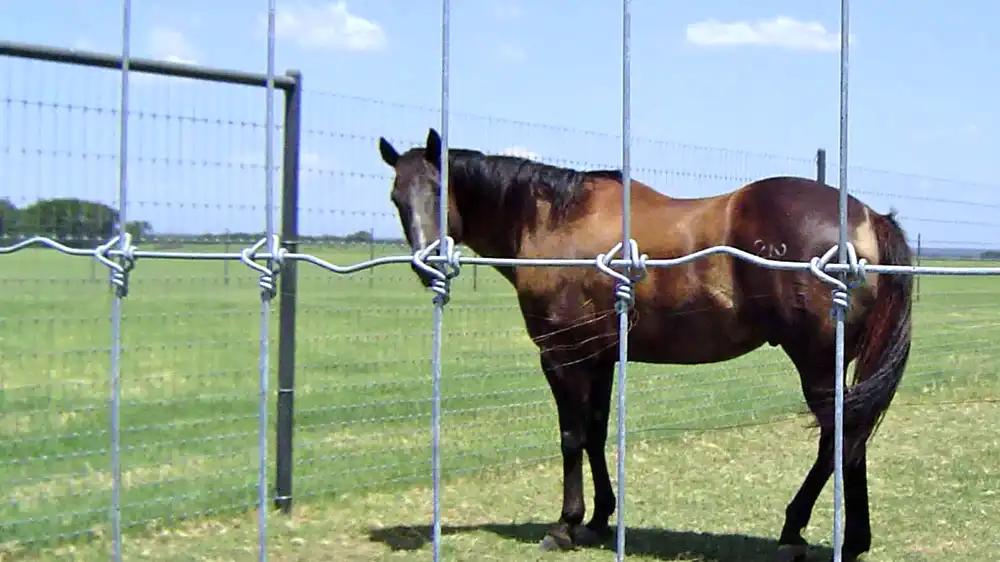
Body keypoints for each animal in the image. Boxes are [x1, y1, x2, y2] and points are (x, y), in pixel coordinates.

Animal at [377, 128, 913, 562]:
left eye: (438, 190)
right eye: (396, 196)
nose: (426, 264)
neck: (556, 221)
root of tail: (866, 216)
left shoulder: (561, 356)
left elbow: (571, 436)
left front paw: (565, 524)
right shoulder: (600, 356)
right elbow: (595, 432)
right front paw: (598, 519)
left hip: (816, 365)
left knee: (838, 438)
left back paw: (795, 530)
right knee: (852, 437)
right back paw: (853, 539)